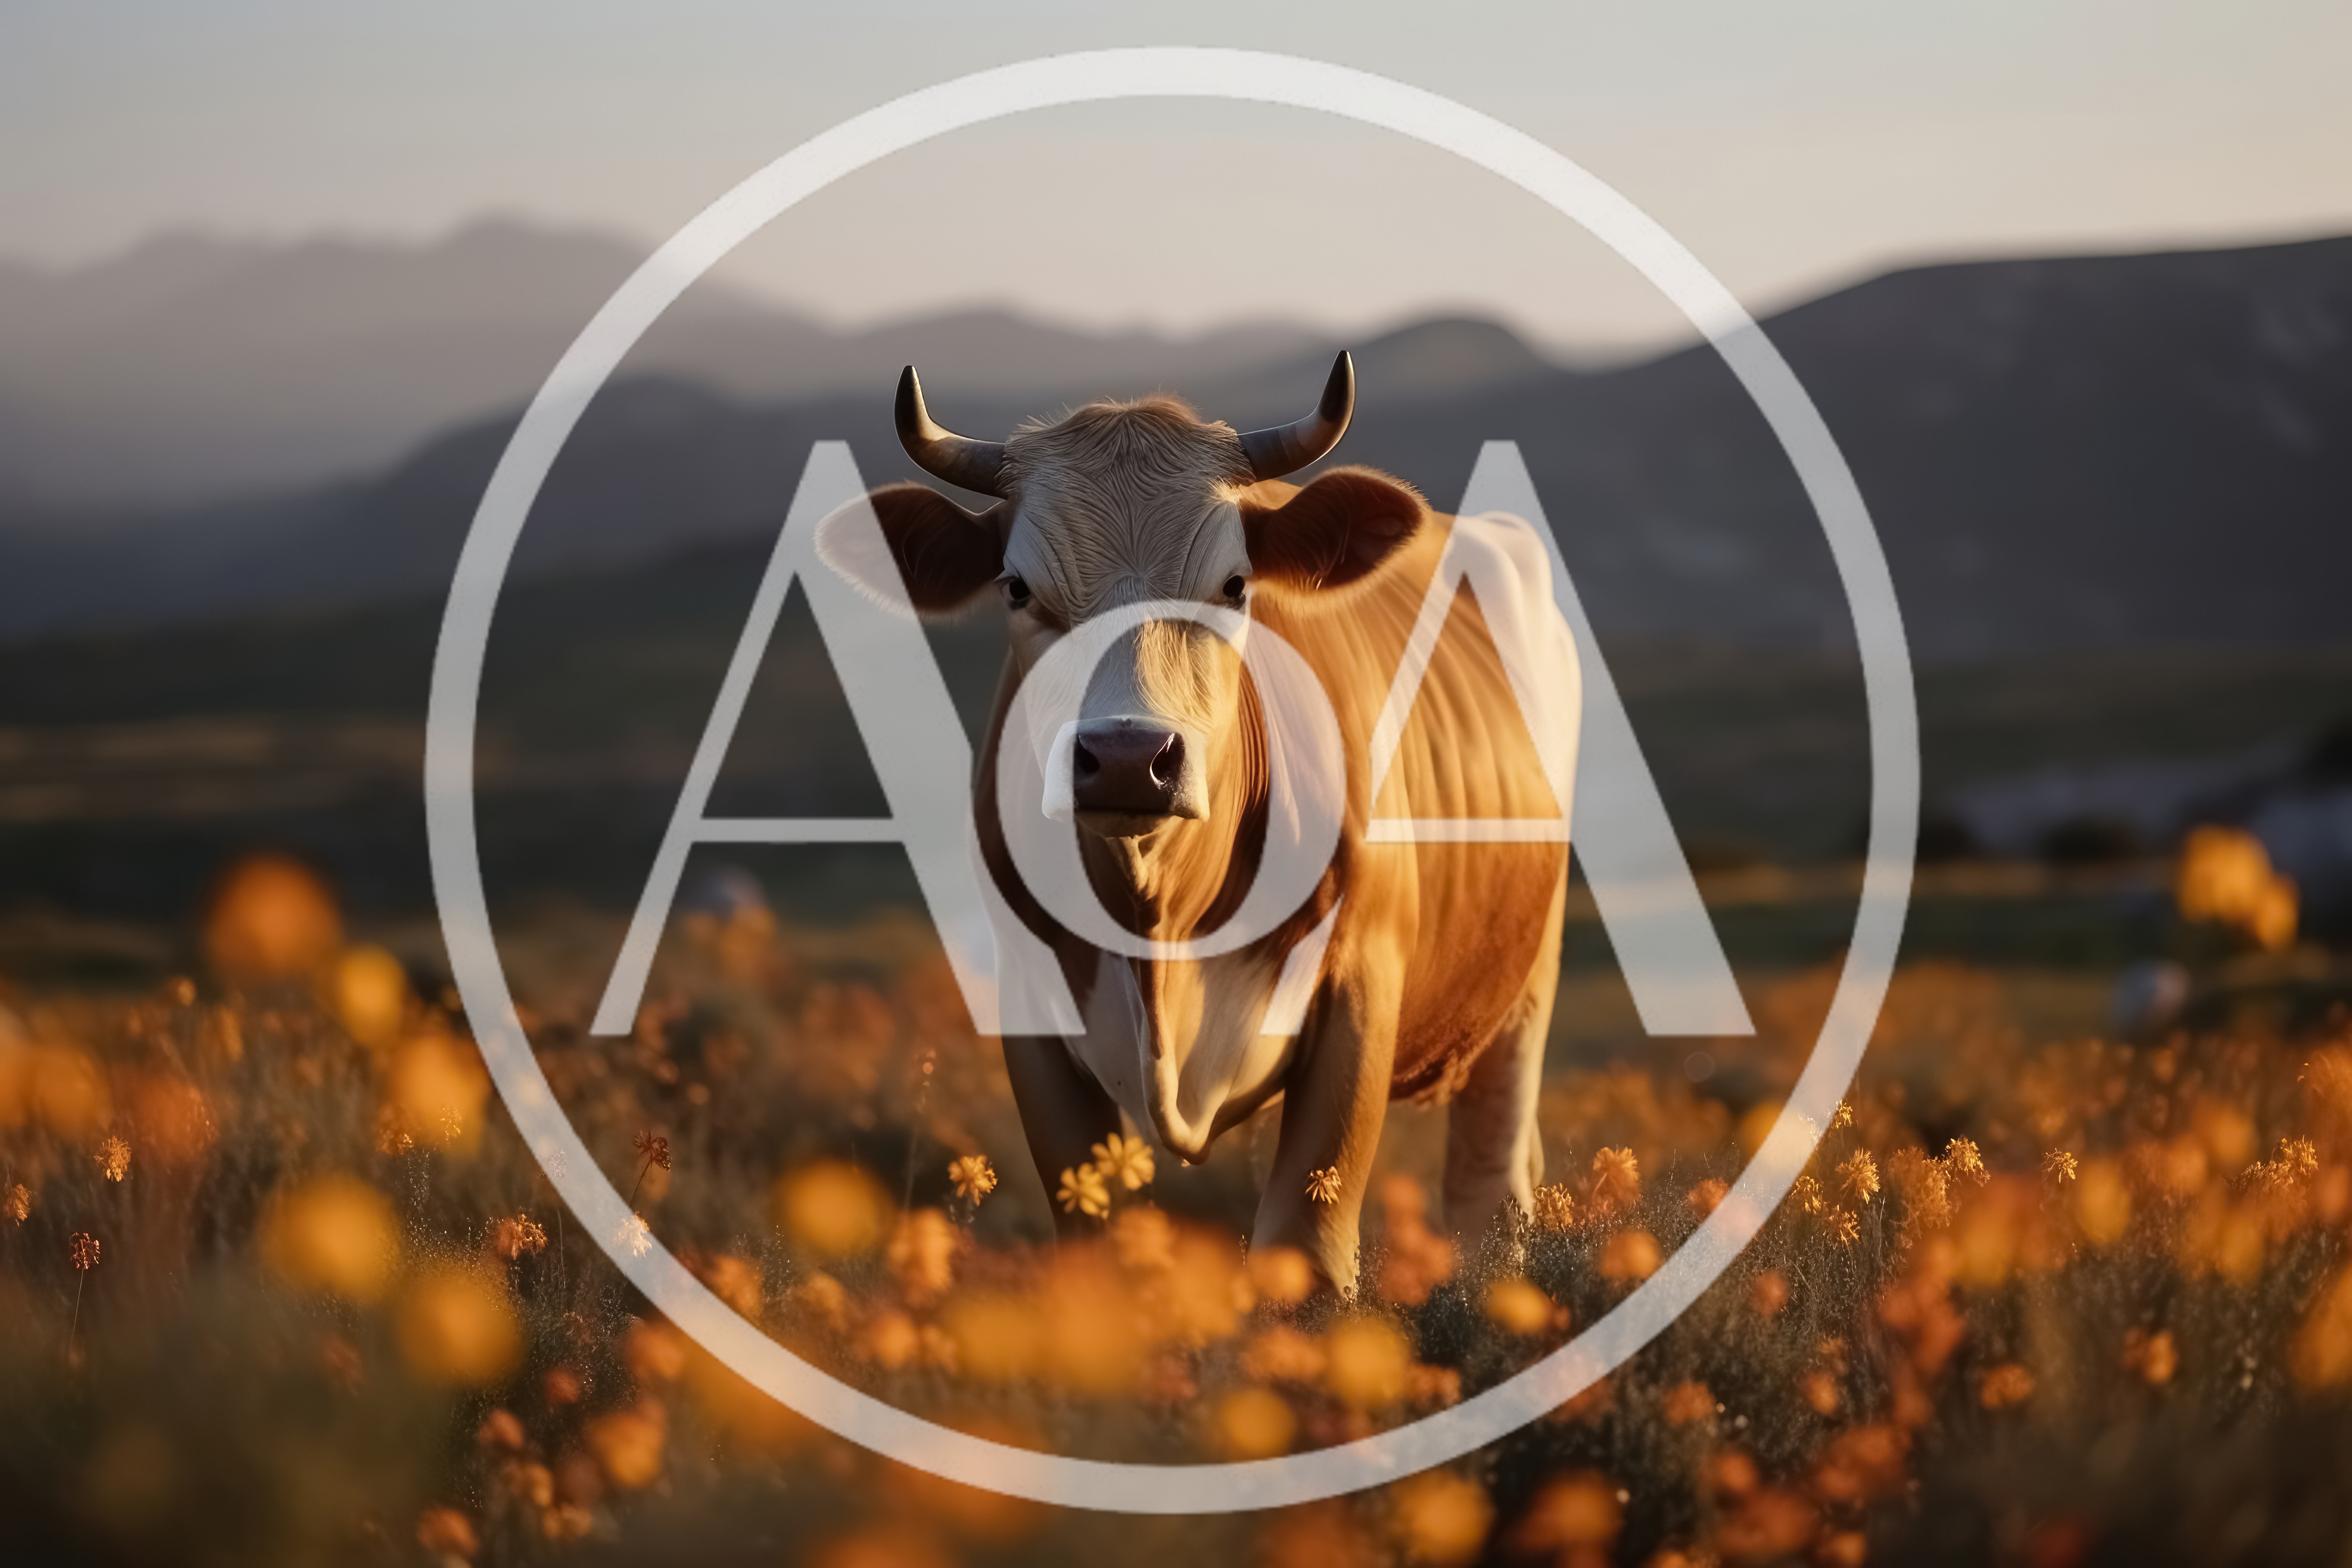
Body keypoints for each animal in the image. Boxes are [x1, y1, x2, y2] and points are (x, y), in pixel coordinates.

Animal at [816, 354, 1571, 1292]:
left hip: (1524, 986)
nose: (1127, 754)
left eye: (1234, 585)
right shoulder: (1030, 1009)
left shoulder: (1361, 986)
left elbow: (1305, 1248)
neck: (1161, 925)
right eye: (1018, 588)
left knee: (1490, 1183)